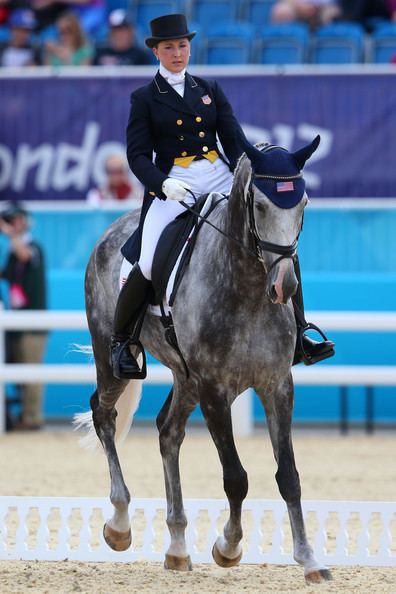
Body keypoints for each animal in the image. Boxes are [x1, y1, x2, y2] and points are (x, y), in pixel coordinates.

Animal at [76, 140, 332, 584]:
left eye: (302, 204)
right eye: (259, 205)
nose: (284, 286)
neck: (247, 288)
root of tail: (113, 230)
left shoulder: (277, 384)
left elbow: (288, 476)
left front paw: (309, 559)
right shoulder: (215, 389)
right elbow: (236, 478)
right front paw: (227, 547)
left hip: (186, 377)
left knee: (168, 431)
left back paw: (177, 546)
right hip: (113, 362)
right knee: (103, 413)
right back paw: (120, 524)